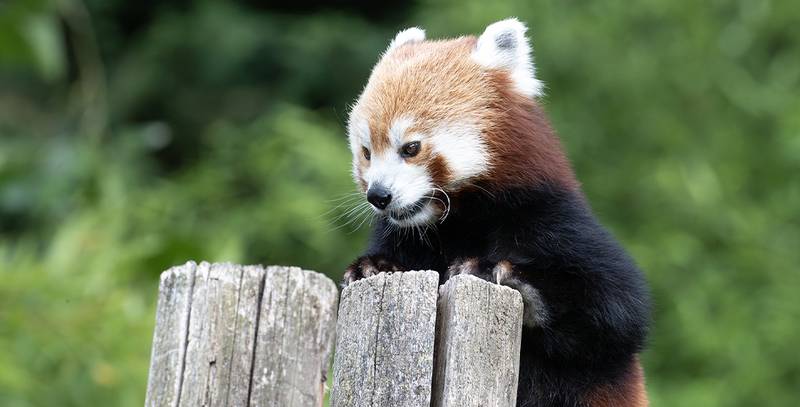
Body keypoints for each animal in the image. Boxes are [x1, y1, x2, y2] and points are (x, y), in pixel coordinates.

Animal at [342, 18, 650, 407]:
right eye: (367, 152)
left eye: (410, 148)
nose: (378, 196)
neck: (459, 220)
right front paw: (374, 266)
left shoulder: (549, 216)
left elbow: (619, 312)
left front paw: (492, 270)